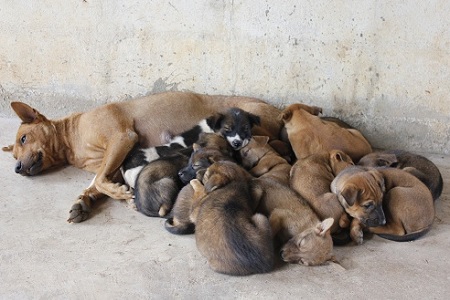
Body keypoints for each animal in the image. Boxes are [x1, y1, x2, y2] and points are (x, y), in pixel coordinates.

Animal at [1, 92, 282, 223]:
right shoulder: (113, 164)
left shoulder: (122, 138)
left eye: (24, 138)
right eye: (14, 153)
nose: (17, 168)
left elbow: (100, 180)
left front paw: (122, 194)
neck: (71, 141)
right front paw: (84, 201)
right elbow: (96, 183)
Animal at [239, 137, 334, 266]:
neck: (303, 227)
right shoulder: (278, 214)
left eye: (301, 262)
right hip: (258, 192)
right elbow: (271, 231)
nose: (281, 255)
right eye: (300, 243)